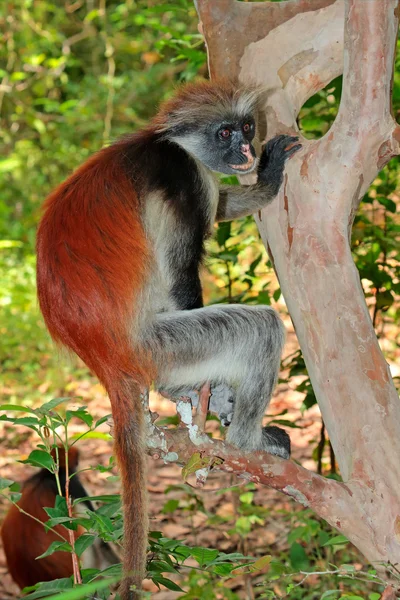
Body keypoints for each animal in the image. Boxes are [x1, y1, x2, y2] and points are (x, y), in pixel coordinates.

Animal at [36, 81, 300, 600]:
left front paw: (266, 178)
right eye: (224, 133)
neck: (170, 142)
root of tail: (103, 355)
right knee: (259, 326)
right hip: (163, 346)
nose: (245, 153)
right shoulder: (181, 176)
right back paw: (245, 438)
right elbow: (182, 274)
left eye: (246, 128)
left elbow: (222, 205)